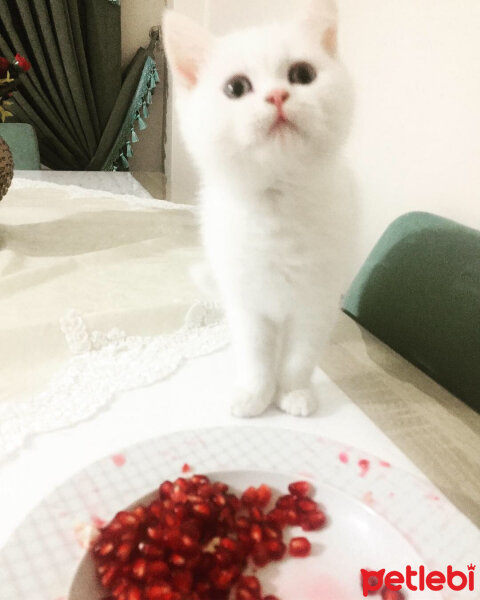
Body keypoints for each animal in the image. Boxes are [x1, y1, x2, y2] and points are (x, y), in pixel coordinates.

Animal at [165, 1, 356, 418]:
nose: (278, 95)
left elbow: (300, 357)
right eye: (236, 88)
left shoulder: (316, 301)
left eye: (302, 74)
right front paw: (255, 395)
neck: (278, 203)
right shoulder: (247, 302)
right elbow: (255, 355)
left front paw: (292, 392)